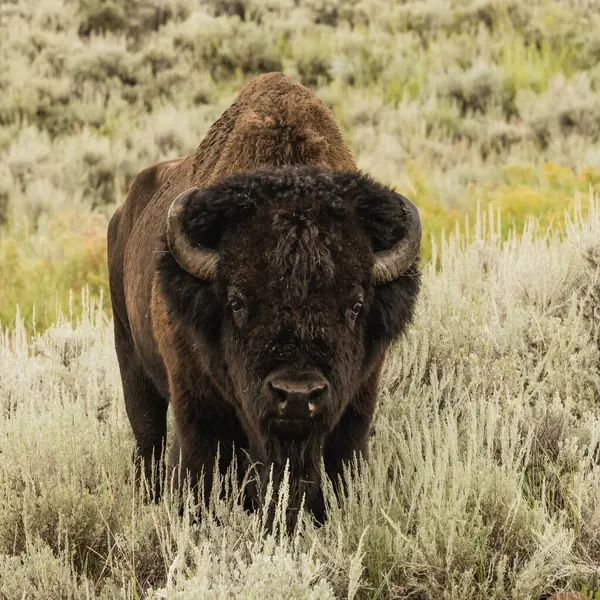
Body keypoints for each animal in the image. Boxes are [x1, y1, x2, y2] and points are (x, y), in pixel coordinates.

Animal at [106, 72, 422, 528]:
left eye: (355, 306)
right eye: (237, 302)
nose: (297, 394)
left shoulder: (357, 406)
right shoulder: (195, 410)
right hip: (131, 360)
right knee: (148, 441)